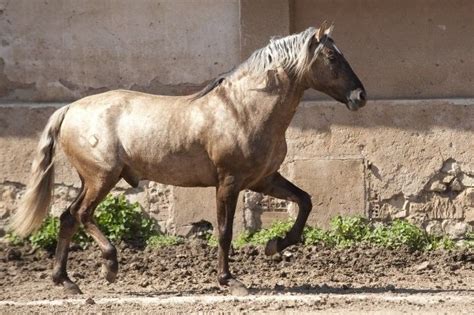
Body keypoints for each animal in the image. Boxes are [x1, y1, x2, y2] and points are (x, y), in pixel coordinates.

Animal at [10, 21, 366, 296]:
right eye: (331, 56)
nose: (359, 96)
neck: (243, 109)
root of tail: (70, 108)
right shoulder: (228, 183)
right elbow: (224, 232)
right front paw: (230, 281)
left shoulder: (264, 180)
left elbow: (304, 202)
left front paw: (275, 245)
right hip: (102, 177)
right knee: (82, 215)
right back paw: (109, 266)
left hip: (91, 179)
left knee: (67, 217)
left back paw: (67, 282)